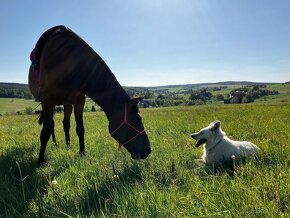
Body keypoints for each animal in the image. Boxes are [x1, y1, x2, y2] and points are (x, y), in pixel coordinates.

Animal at [28, 25, 151, 167]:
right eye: (137, 120)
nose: (148, 150)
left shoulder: (79, 101)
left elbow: (80, 128)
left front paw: (82, 153)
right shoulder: (48, 100)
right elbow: (45, 131)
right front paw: (40, 161)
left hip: (67, 103)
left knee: (65, 124)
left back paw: (67, 146)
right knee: (51, 125)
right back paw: (55, 144)